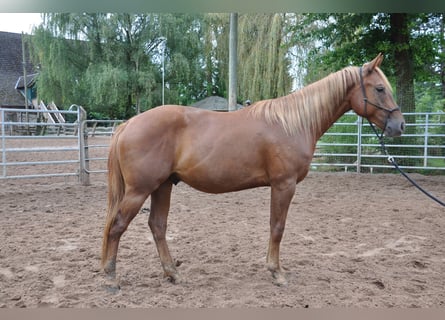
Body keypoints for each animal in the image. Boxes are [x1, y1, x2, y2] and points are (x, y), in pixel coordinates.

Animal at [101, 55, 406, 288]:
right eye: (380, 88)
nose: (399, 125)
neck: (293, 123)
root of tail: (128, 124)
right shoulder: (284, 185)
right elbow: (277, 227)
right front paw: (277, 273)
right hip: (140, 190)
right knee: (117, 226)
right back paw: (110, 278)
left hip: (163, 185)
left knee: (157, 226)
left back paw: (172, 274)